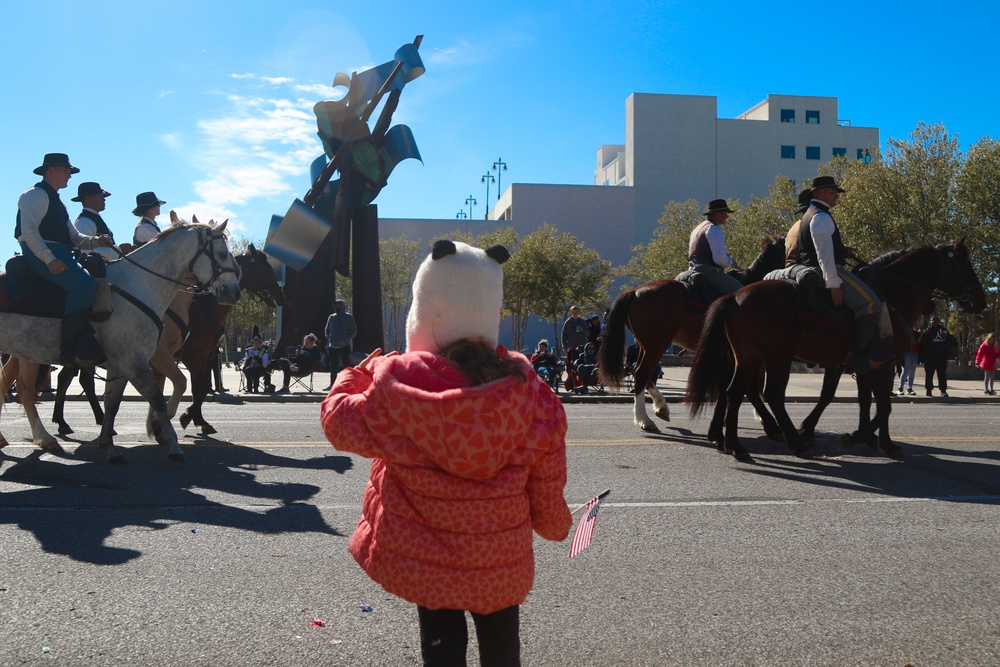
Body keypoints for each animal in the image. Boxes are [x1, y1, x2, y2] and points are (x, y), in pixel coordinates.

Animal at [0, 218, 240, 464]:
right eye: (223, 254)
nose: (234, 292)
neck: (139, 285)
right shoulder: (138, 359)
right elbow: (162, 394)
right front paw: (170, 439)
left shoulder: (125, 365)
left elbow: (114, 403)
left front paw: (111, 444)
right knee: (30, 387)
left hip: (25, 351)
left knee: (21, 387)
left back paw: (30, 437)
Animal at [600, 237, 788, 436]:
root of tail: (635, 292)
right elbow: (754, 383)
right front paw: (761, 416)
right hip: (656, 346)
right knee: (642, 373)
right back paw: (645, 419)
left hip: (647, 346)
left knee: (642, 374)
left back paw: (661, 407)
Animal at [688, 237, 984, 462]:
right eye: (965, 264)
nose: (980, 300)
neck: (892, 294)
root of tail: (734, 296)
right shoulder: (884, 364)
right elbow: (883, 405)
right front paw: (873, 440)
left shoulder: (861, 364)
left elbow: (862, 401)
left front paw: (868, 437)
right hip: (776, 358)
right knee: (769, 394)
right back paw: (790, 441)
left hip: (748, 357)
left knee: (734, 392)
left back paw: (735, 445)